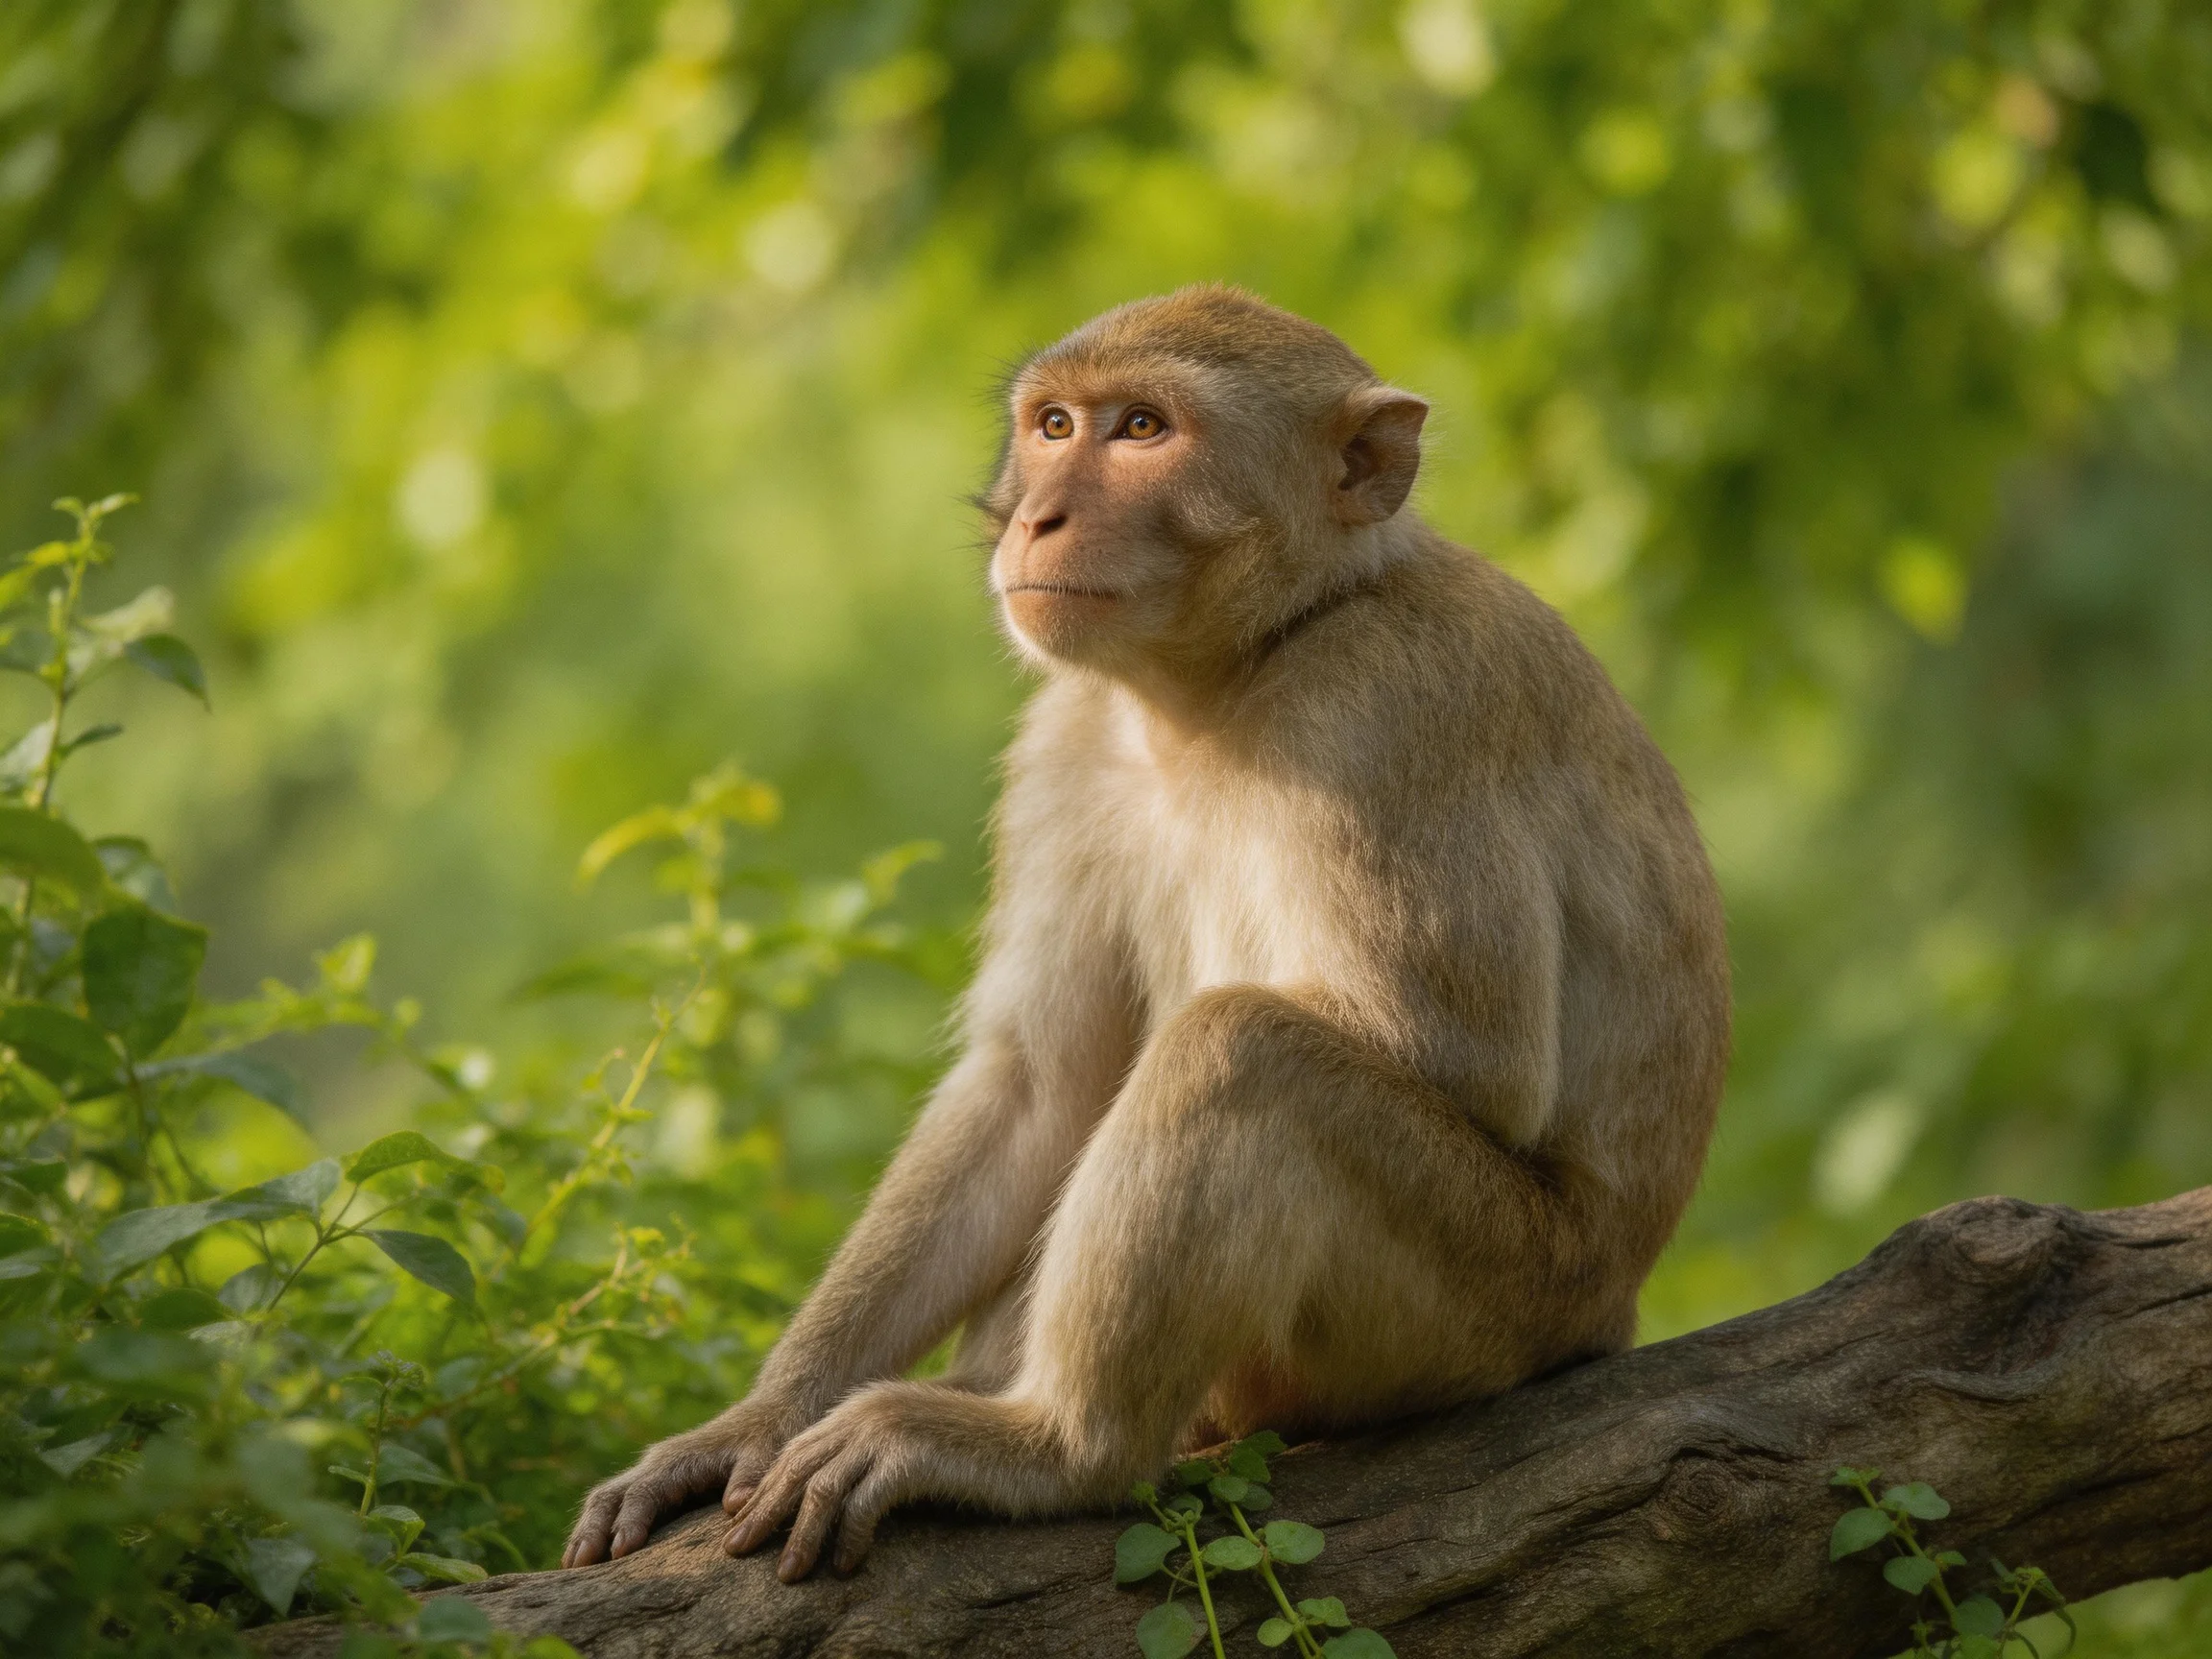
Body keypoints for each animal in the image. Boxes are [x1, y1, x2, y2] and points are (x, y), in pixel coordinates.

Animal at [562, 285, 1729, 1582]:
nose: (1040, 515)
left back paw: (1061, 1446)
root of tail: (1610, 1309)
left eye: (1142, 430)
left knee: (1241, 1051)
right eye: (1056, 424)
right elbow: (1039, 1083)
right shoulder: (1065, 736)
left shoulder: (1392, 705)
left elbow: (1474, 1072)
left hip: (1496, 1300)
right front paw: (755, 1422)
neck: (1237, 668)